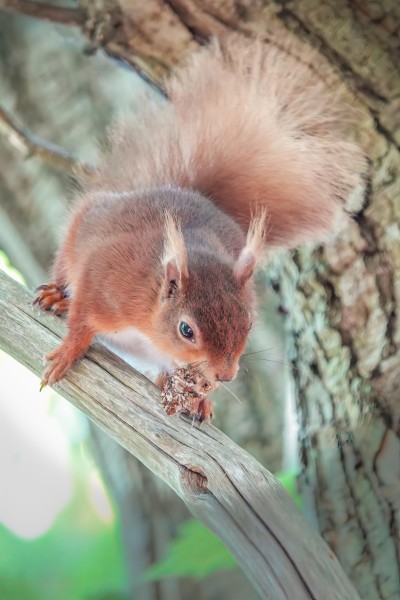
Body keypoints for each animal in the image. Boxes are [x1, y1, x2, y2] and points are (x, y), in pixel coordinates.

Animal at [35, 34, 366, 408]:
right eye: (186, 330)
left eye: (247, 324)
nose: (225, 375)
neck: (149, 316)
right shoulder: (103, 281)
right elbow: (80, 322)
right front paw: (66, 353)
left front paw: (201, 397)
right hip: (78, 233)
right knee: (65, 271)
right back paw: (57, 295)